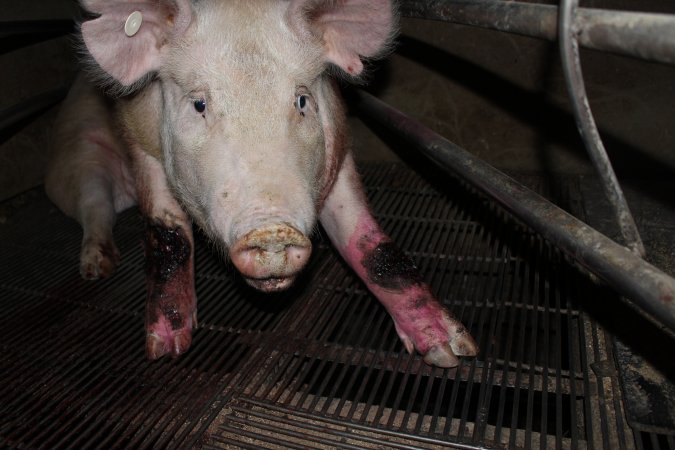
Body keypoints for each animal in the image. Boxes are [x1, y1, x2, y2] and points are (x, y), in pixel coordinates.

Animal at [46, 0, 480, 368]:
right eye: (199, 104)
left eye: (302, 101)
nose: (272, 230)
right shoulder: (141, 141)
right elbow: (168, 233)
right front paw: (166, 350)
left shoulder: (339, 148)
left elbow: (371, 246)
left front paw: (450, 353)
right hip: (78, 156)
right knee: (94, 206)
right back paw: (97, 267)